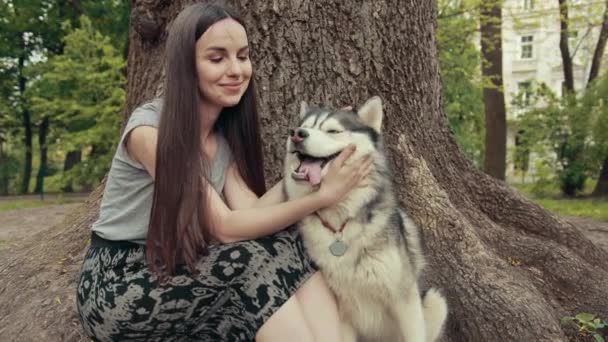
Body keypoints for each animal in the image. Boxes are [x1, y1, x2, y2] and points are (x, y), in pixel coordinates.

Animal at [284, 97, 446, 342]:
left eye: (332, 131)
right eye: (304, 125)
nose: (296, 133)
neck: (341, 222)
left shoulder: (406, 302)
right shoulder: (343, 311)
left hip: (436, 301)